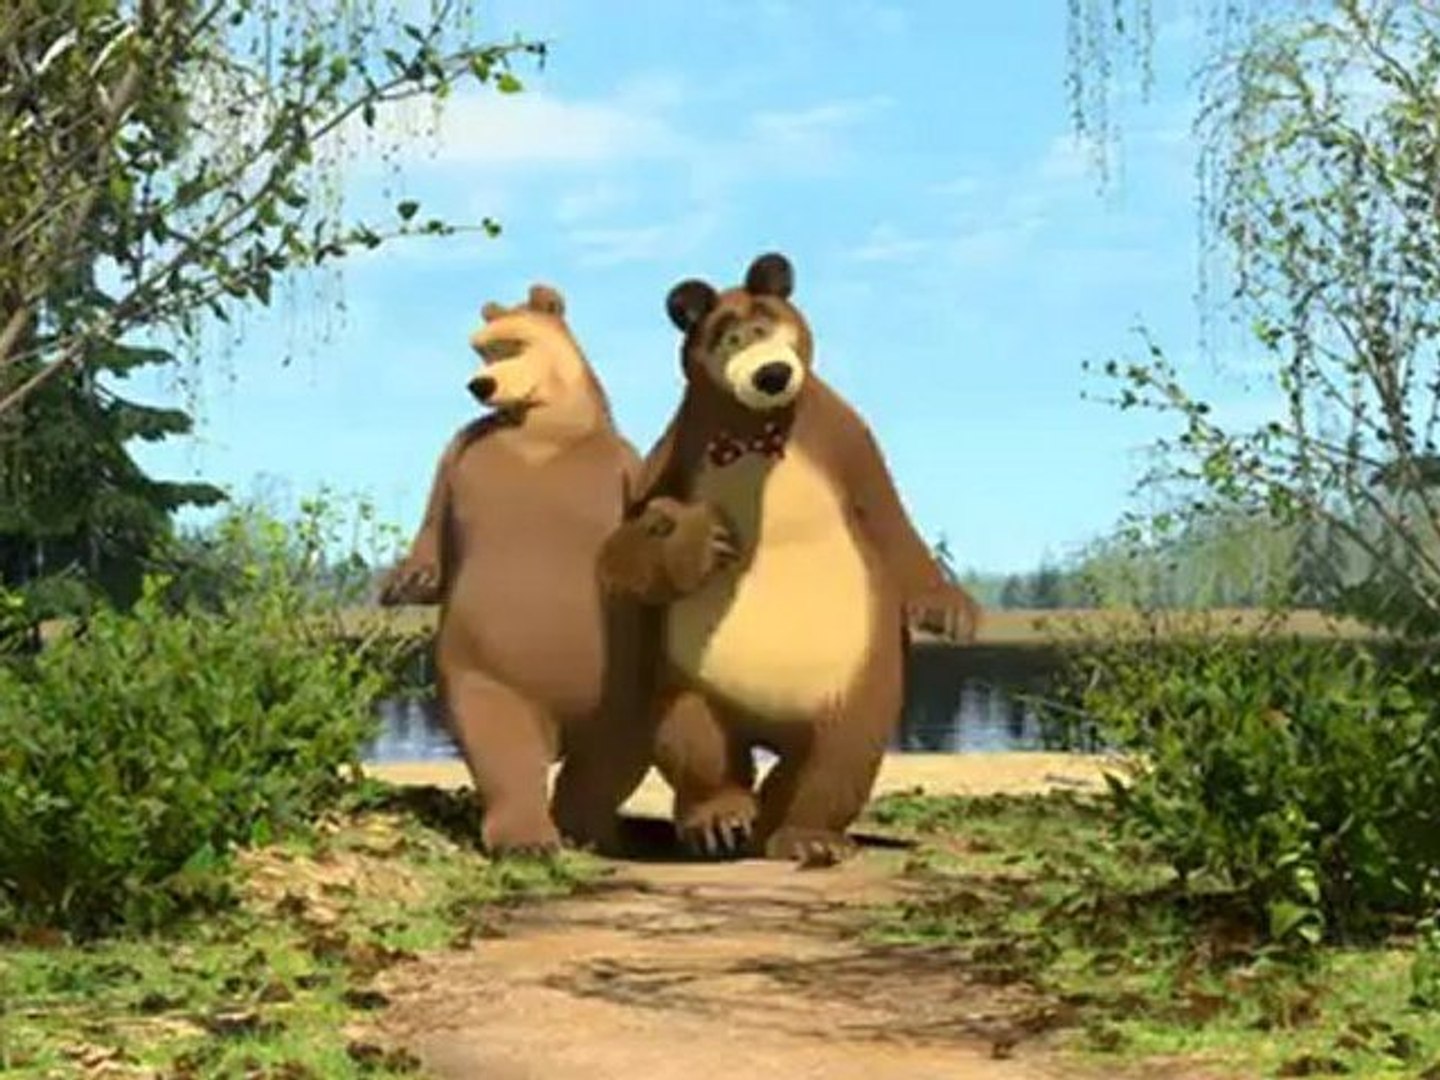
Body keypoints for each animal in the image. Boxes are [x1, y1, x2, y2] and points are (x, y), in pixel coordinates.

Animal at [379, 283, 656, 857]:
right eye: (482, 350)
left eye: (513, 344)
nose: (480, 384)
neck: (541, 431)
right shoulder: (461, 459)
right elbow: (437, 512)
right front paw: (408, 578)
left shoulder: (622, 465)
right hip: (485, 663)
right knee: (501, 738)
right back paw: (527, 836)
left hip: (620, 677)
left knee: (613, 747)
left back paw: (586, 830)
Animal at [597, 252, 981, 864]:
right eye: (731, 336)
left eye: (770, 324)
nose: (773, 374)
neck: (755, 432)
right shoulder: (672, 455)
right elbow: (619, 555)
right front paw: (695, 540)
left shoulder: (848, 442)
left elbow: (891, 522)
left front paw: (949, 612)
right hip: (688, 675)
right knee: (693, 737)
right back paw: (720, 821)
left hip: (855, 678)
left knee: (839, 755)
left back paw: (806, 837)